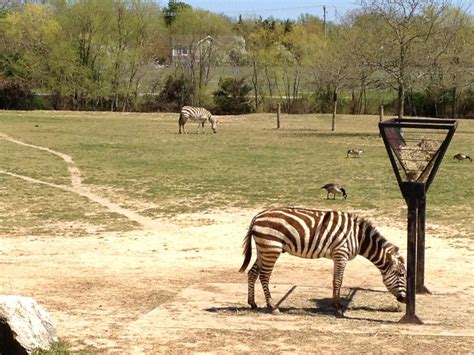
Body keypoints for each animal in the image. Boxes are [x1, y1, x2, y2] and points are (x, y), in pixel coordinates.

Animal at [239, 209, 406, 318]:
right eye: (401, 274)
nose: (404, 300)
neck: (359, 238)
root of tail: (257, 216)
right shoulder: (341, 254)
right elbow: (338, 281)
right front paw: (338, 308)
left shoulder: (338, 256)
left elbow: (336, 281)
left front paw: (336, 306)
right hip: (271, 248)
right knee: (264, 276)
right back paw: (272, 306)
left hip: (263, 249)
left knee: (253, 273)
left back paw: (252, 303)